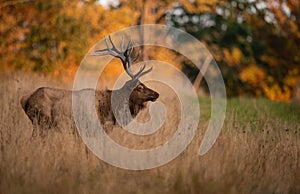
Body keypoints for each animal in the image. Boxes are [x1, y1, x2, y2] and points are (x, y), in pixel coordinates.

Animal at [20, 35, 159, 137]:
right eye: (140, 87)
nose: (156, 94)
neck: (111, 109)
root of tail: (24, 100)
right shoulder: (93, 129)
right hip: (41, 121)